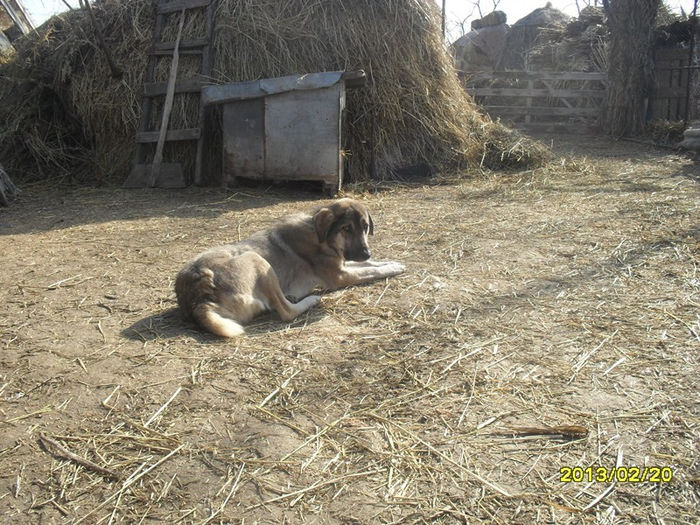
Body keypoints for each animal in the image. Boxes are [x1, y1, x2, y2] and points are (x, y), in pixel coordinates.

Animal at [174, 196, 404, 336]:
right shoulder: (339, 276)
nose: (366, 252)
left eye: (365, 227)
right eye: (347, 228)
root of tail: (199, 297)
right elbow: (371, 269)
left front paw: (394, 262)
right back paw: (310, 300)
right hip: (258, 260)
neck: (320, 235)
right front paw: (392, 268)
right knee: (287, 312)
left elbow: (371, 263)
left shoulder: (344, 264)